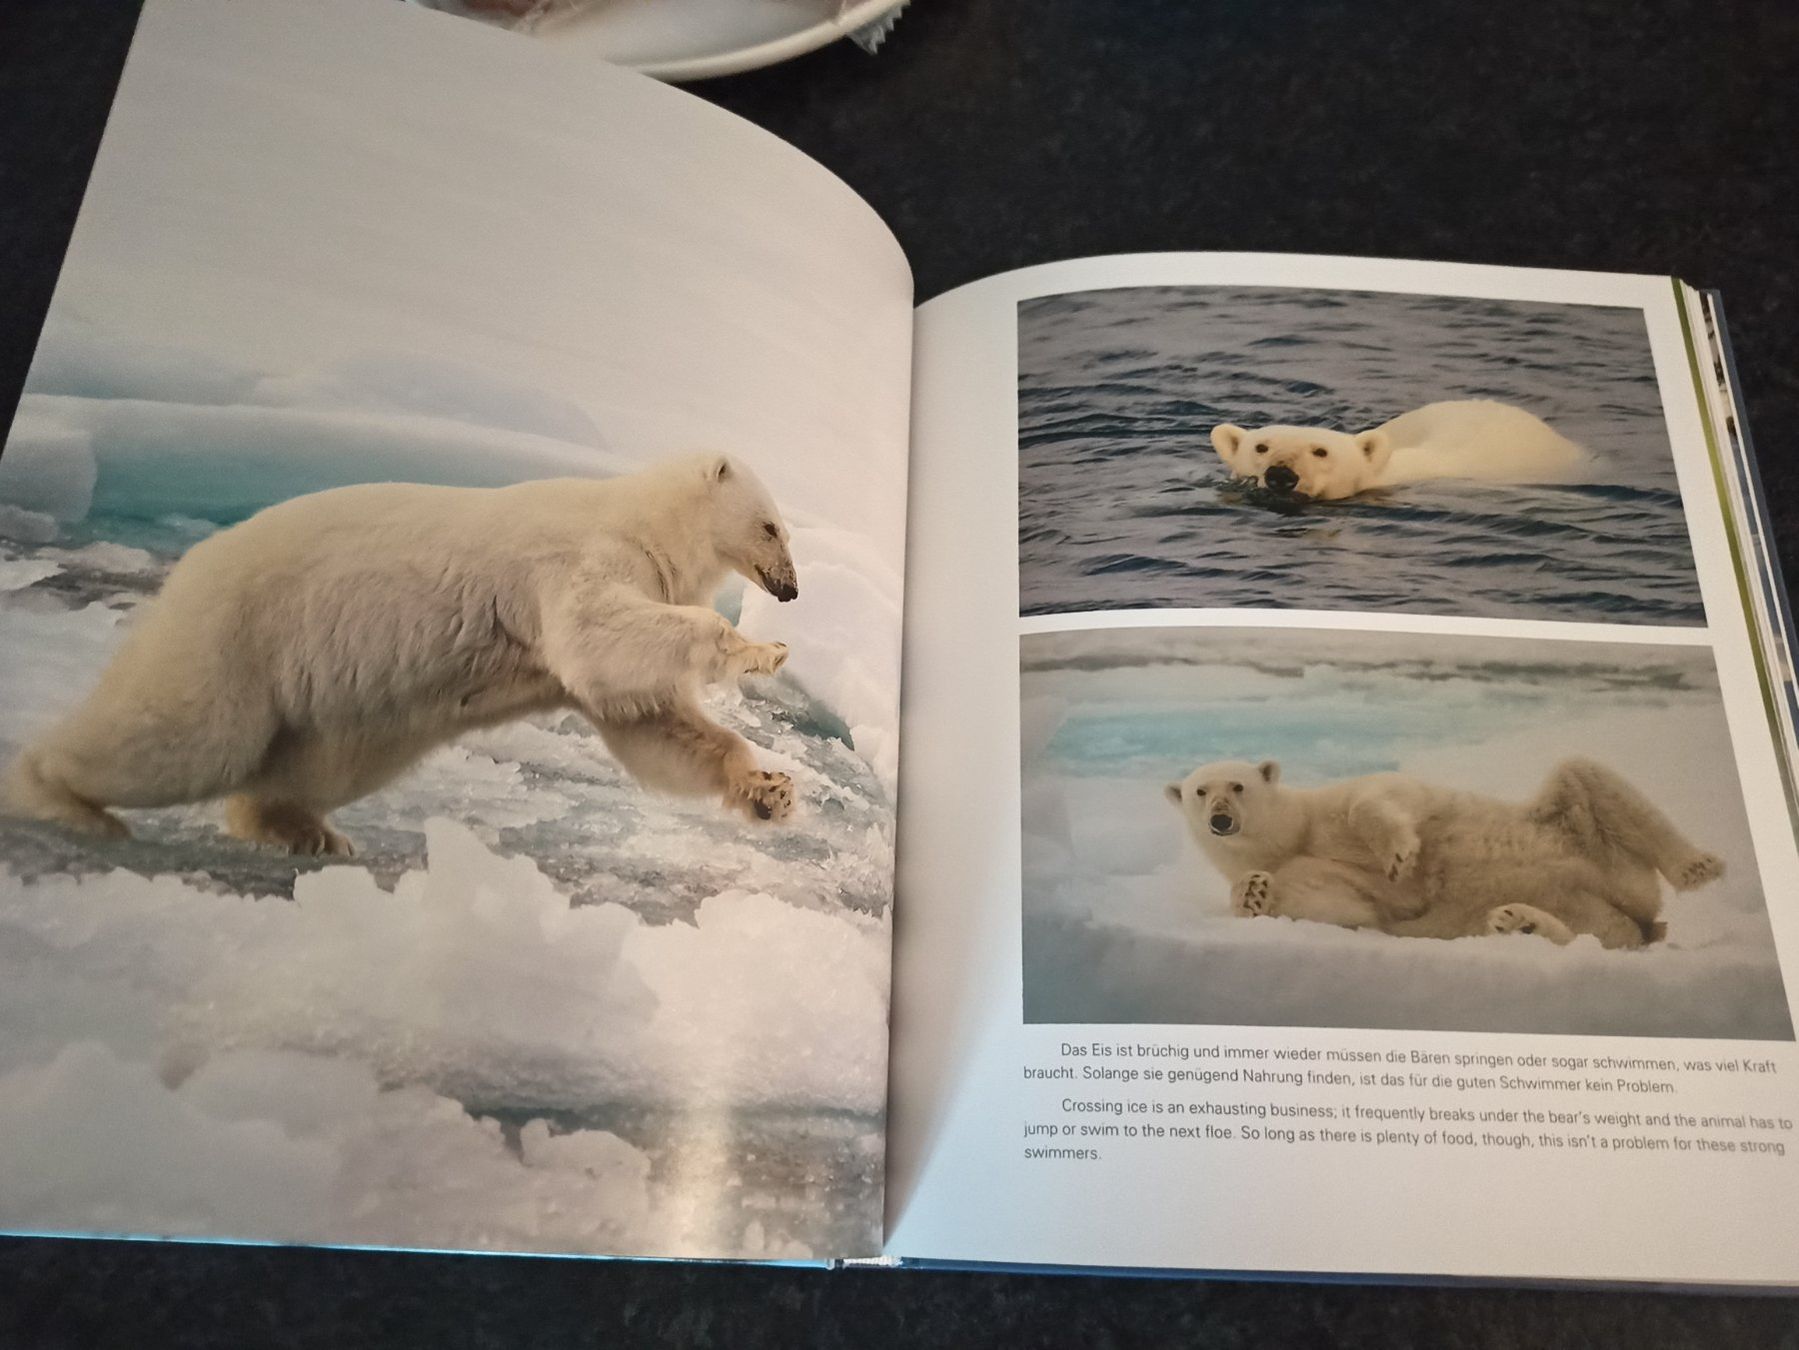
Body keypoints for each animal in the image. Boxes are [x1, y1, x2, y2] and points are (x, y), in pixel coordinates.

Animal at [5, 453, 801, 855]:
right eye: (771, 526)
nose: (791, 591)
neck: (641, 520)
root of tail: (190, 566)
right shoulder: (580, 560)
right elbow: (597, 636)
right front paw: (761, 650)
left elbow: (648, 721)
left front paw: (770, 789)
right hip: (233, 639)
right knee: (180, 738)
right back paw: (63, 801)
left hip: (340, 710)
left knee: (315, 765)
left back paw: (306, 831)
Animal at [1164, 757, 1724, 948]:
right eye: (1199, 791)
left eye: (1237, 786)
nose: (1220, 819)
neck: (1293, 837)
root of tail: (1640, 919)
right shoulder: (1309, 870)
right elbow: (1346, 906)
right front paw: (1253, 893)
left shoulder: (1334, 807)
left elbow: (1379, 799)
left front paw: (1399, 854)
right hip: (1598, 904)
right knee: (1584, 932)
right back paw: (1518, 921)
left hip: (1589, 842)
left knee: (1582, 772)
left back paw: (1699, 866)